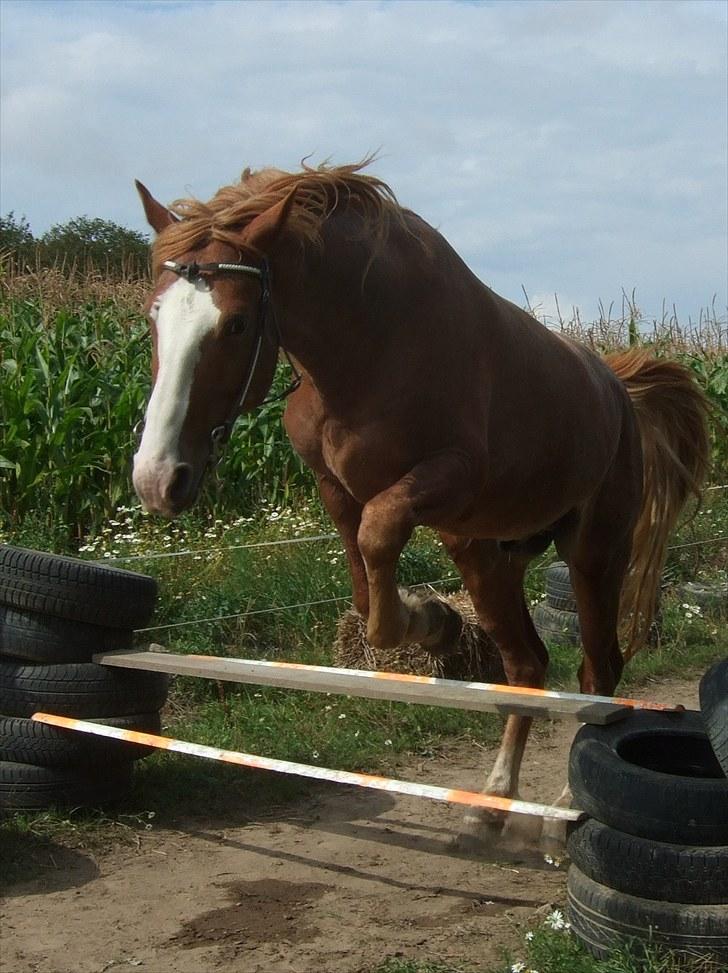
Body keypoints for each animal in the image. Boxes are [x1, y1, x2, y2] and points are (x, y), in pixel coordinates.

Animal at [131, 163, 704, 848]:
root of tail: (617, 389)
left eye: (237, 323)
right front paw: (434, 621)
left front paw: (431, 619)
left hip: (594, 554)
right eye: (154, 316)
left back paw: (562, 812)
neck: (372, 345)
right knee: (528, 664)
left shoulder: (447, 478)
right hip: (486, 550)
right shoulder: (336, 489)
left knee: (598, 678)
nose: (157, 479)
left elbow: (380, 542)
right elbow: (365, 594)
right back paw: (490, 806)